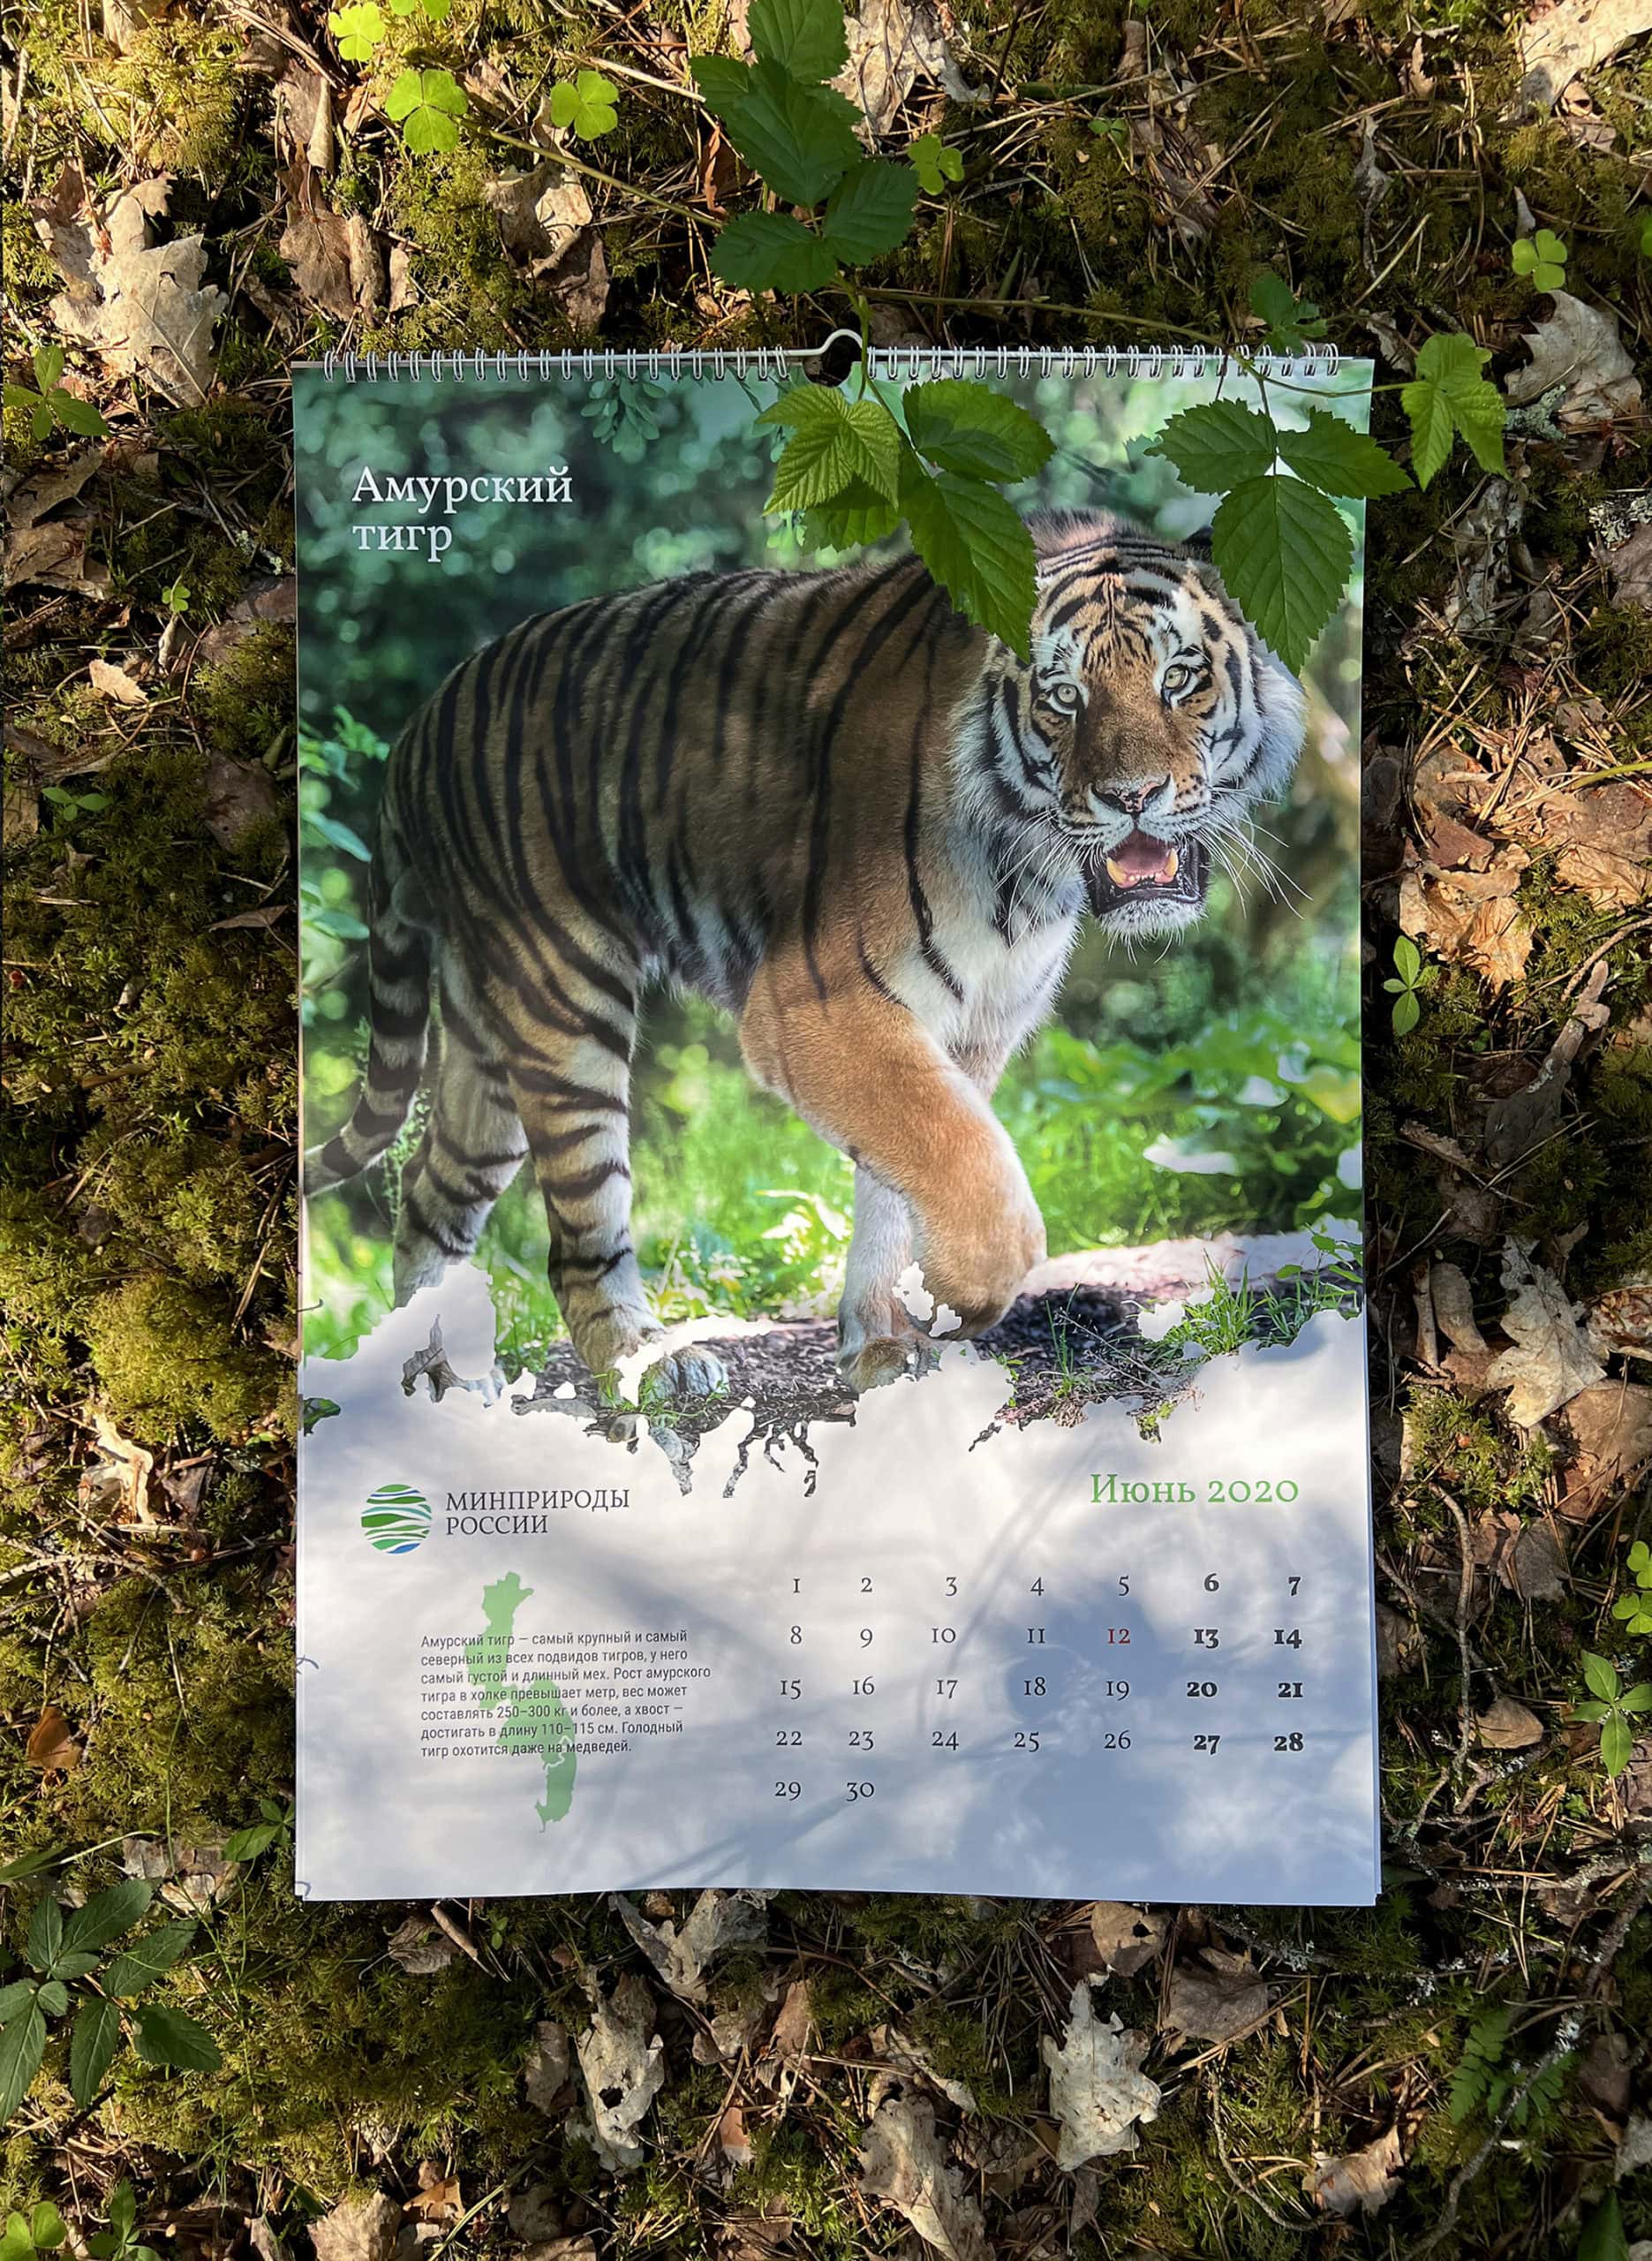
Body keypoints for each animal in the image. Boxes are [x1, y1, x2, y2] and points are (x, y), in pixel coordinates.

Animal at [304, 505, 1307, 1399]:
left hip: (487, 1032)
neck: (1032, 869)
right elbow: (966, 1163)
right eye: (1064, 696)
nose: (1129, 796)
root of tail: (419, 724)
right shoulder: (817, 1003)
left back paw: (437, 1373)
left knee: (430, 1192)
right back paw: (647, 1365)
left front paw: (882, 1344)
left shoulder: (970, 1024)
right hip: (564, 1000)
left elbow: (902, 1180)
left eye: (1179, 677)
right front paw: (964, 1294)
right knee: (578, 1235)